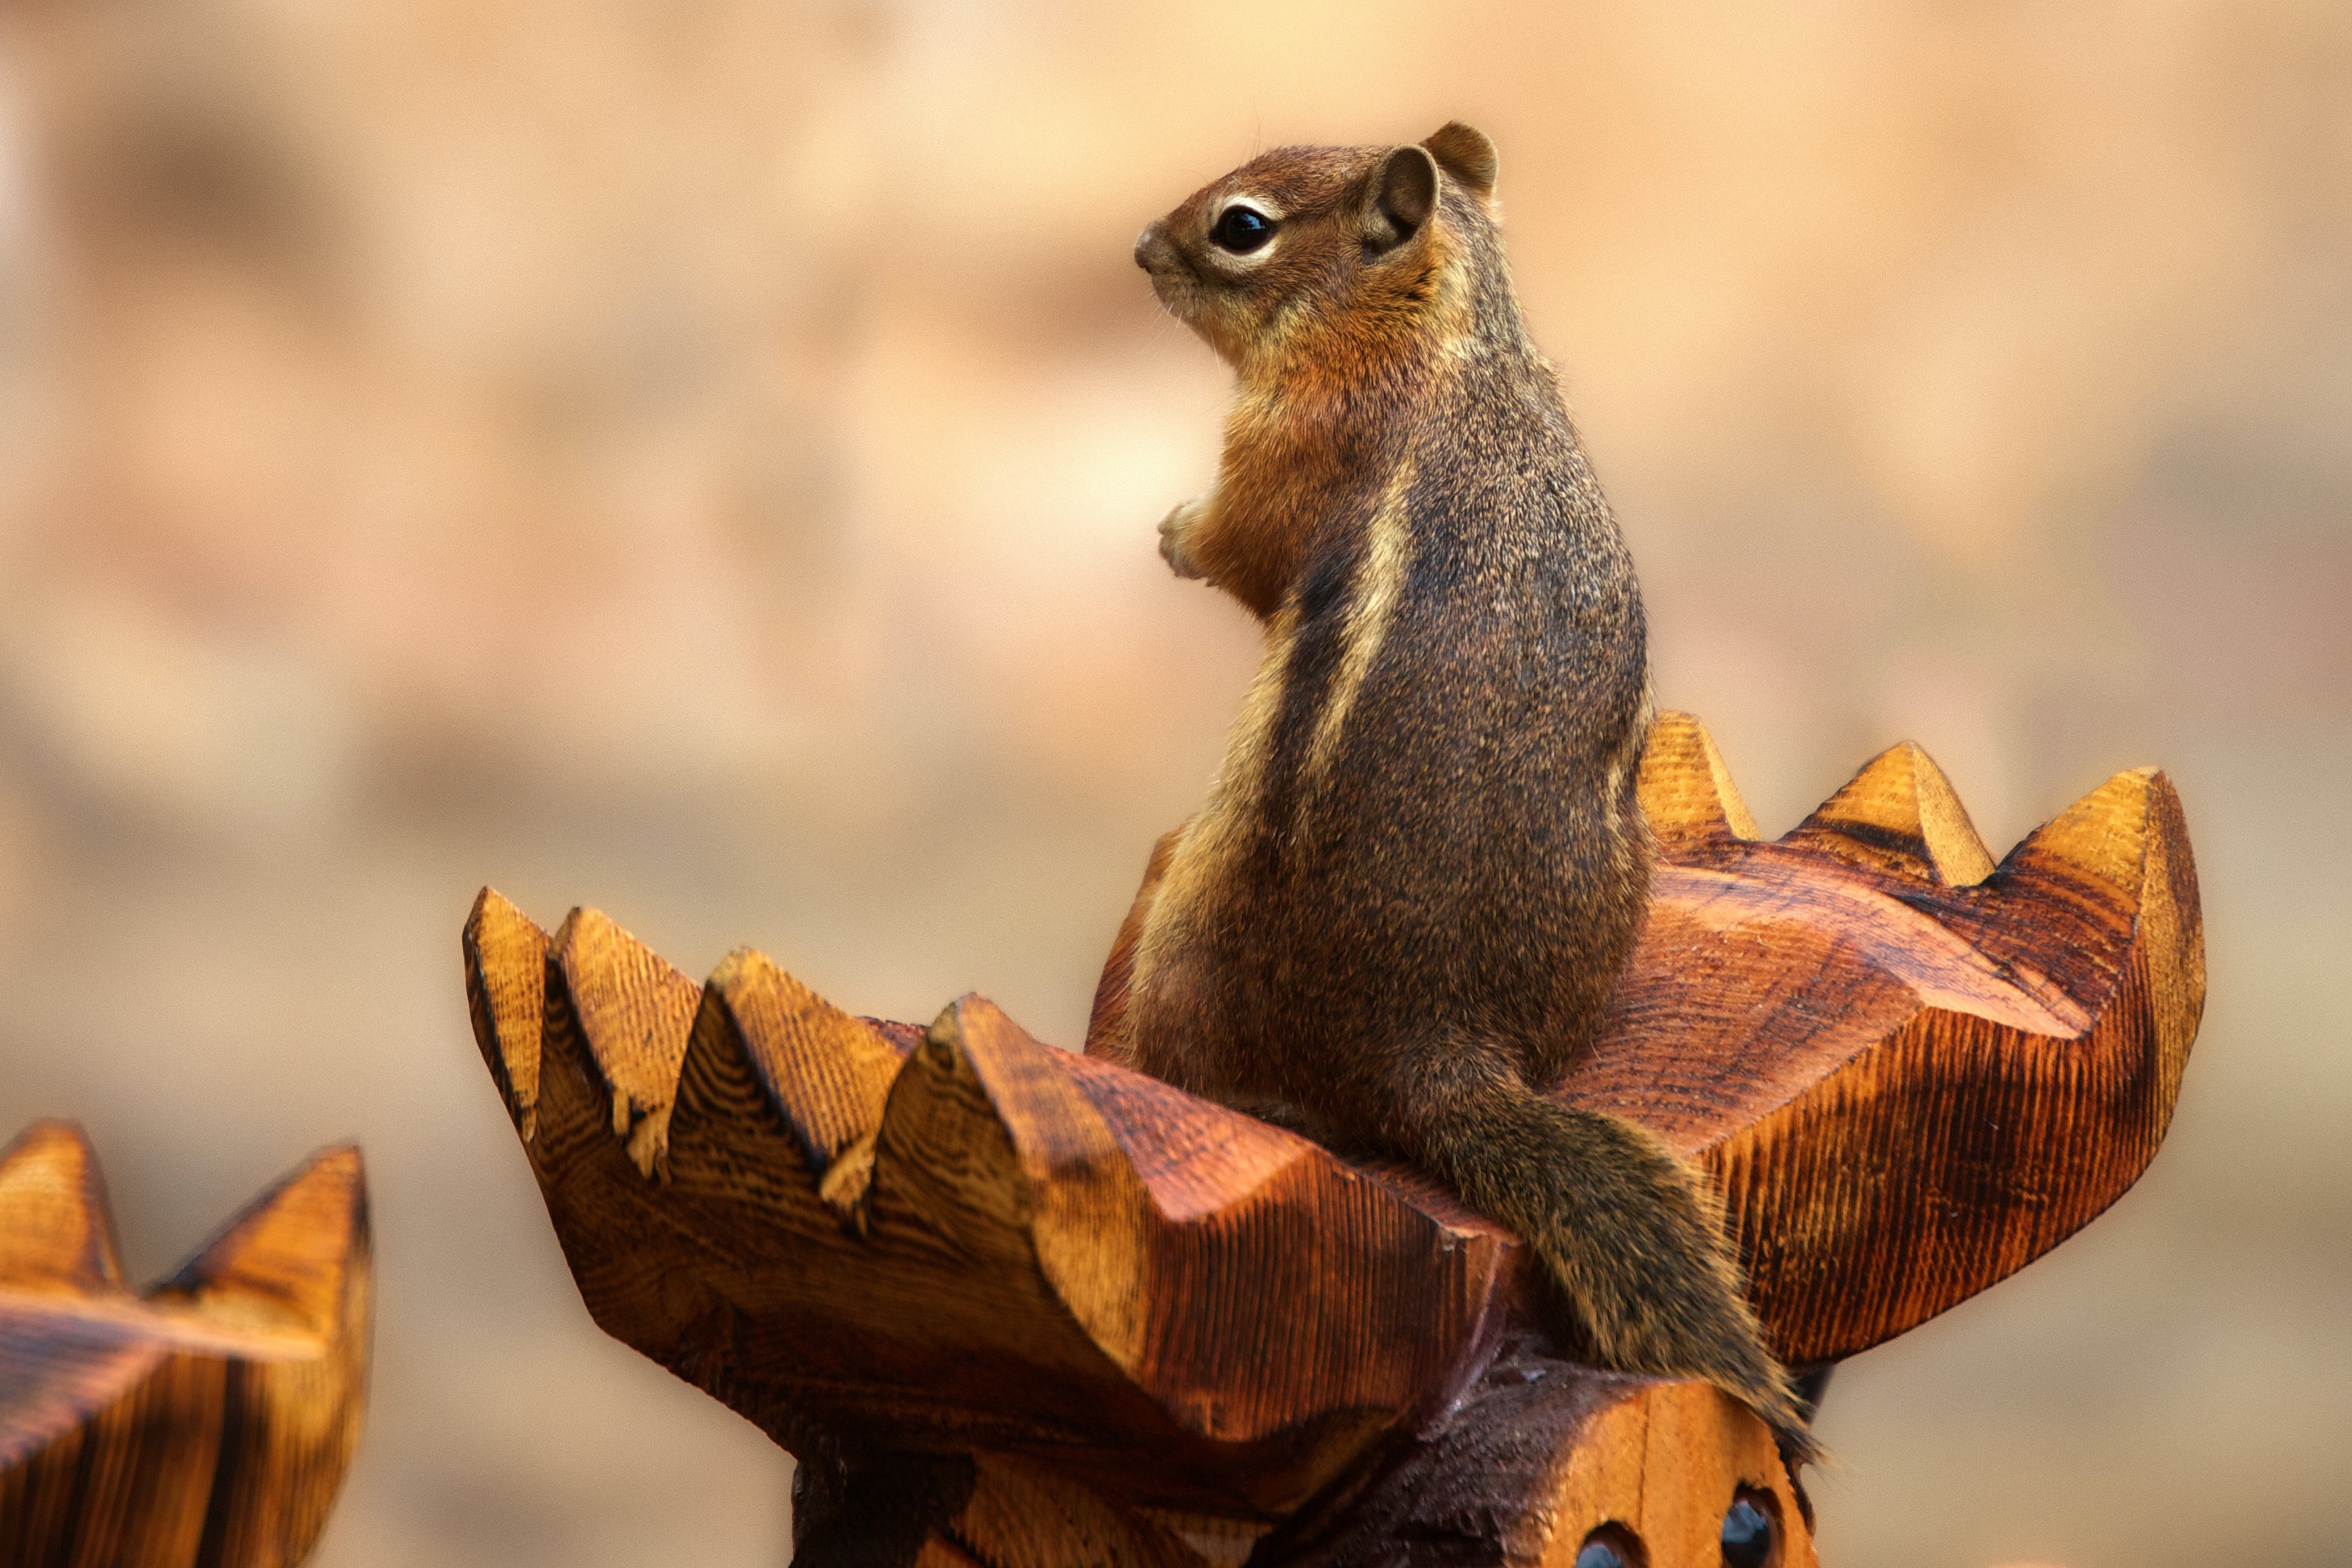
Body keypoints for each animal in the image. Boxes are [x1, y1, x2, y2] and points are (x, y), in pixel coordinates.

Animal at [1099, 122, 1812, 1455]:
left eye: (1241, 227)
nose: (1138, 247)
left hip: (1186, 938)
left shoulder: (1285, 444)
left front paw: (1174, 531)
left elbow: (1239, 547)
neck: (1449, 339)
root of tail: (1436, 1048)